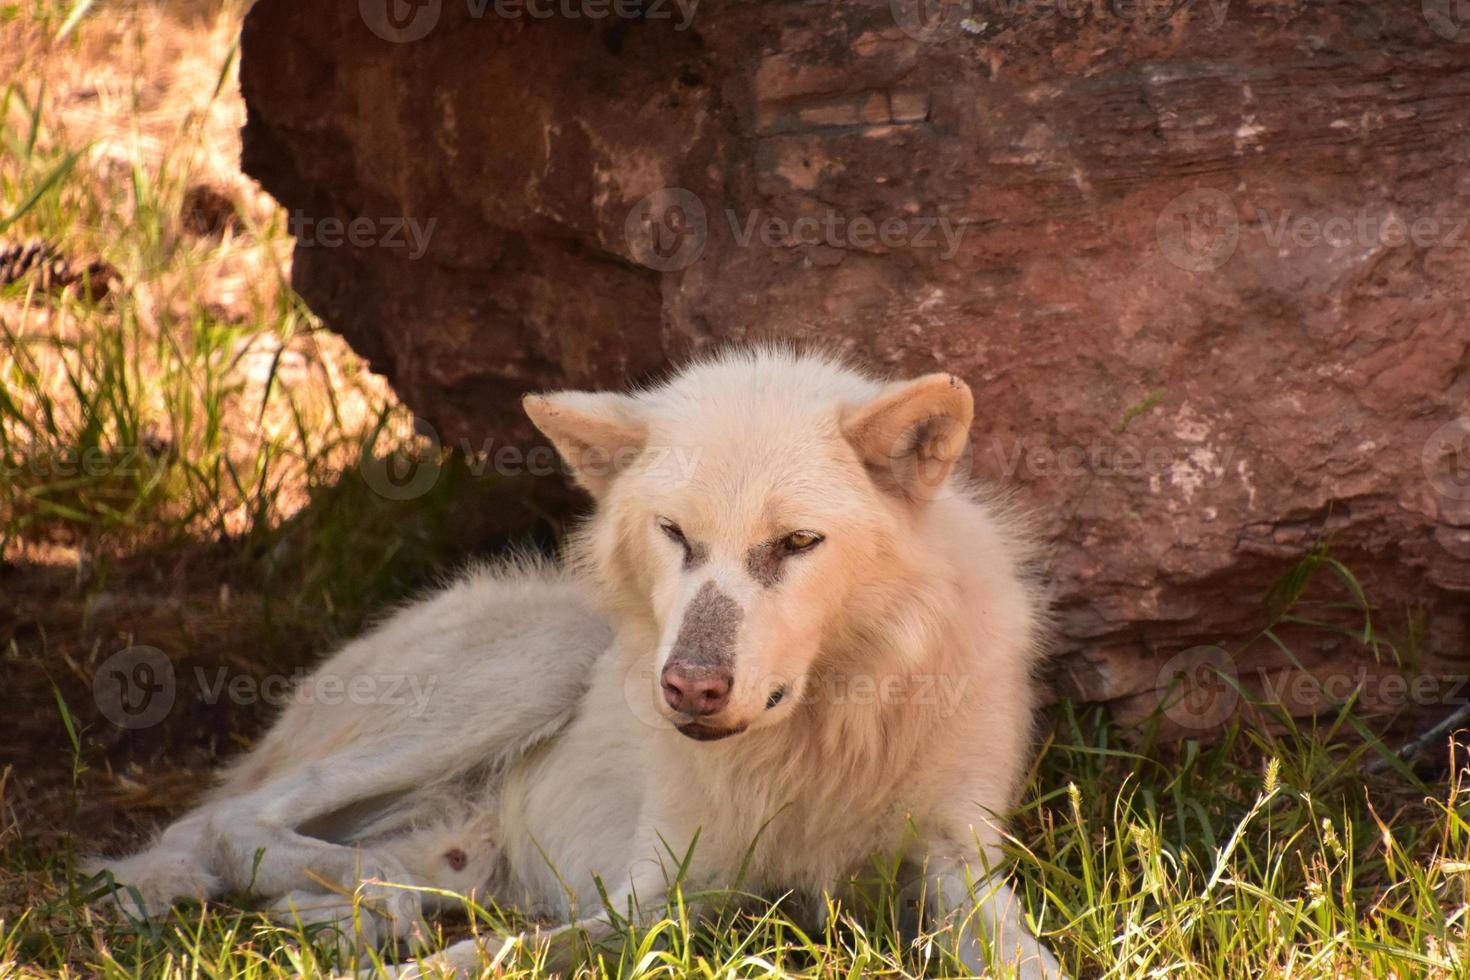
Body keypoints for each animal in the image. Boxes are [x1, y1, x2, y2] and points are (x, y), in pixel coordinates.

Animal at [88, 352, 1058, 980]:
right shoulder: (658, 893)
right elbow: (497, 955)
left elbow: (1025, 955)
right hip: (541, 660)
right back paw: (358, 906)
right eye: (675, 534)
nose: (689, 688)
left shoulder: (958, 864)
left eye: (797, 543)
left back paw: (350, 909)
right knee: (228, 821)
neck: (819, 740)